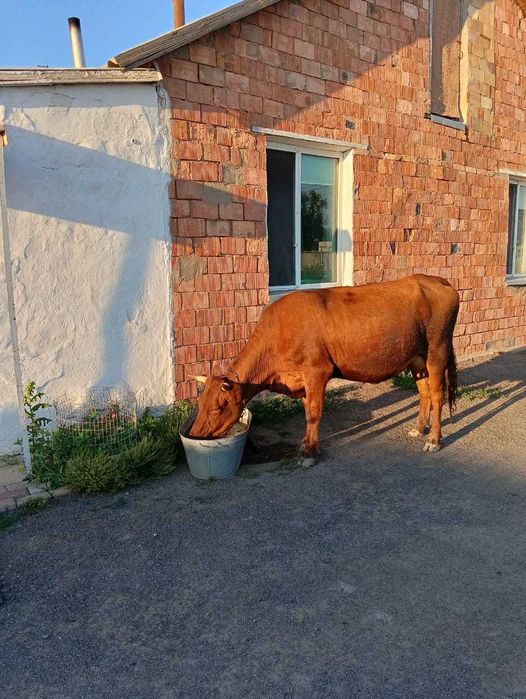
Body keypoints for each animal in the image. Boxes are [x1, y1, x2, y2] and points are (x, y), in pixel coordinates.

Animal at [190, 274, 460, 464]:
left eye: (216, 408)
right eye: (200, 404)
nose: (195, 435)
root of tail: (436, 280)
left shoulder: (316, 372)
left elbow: (313, 413)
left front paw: (309, 453)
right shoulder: (301, 380)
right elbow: (306, 410)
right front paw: (304, 444)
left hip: (437, 350)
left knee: (438, 394)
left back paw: (434, 440)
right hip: (417, 359)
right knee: (424, 393)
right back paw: (419, 429)